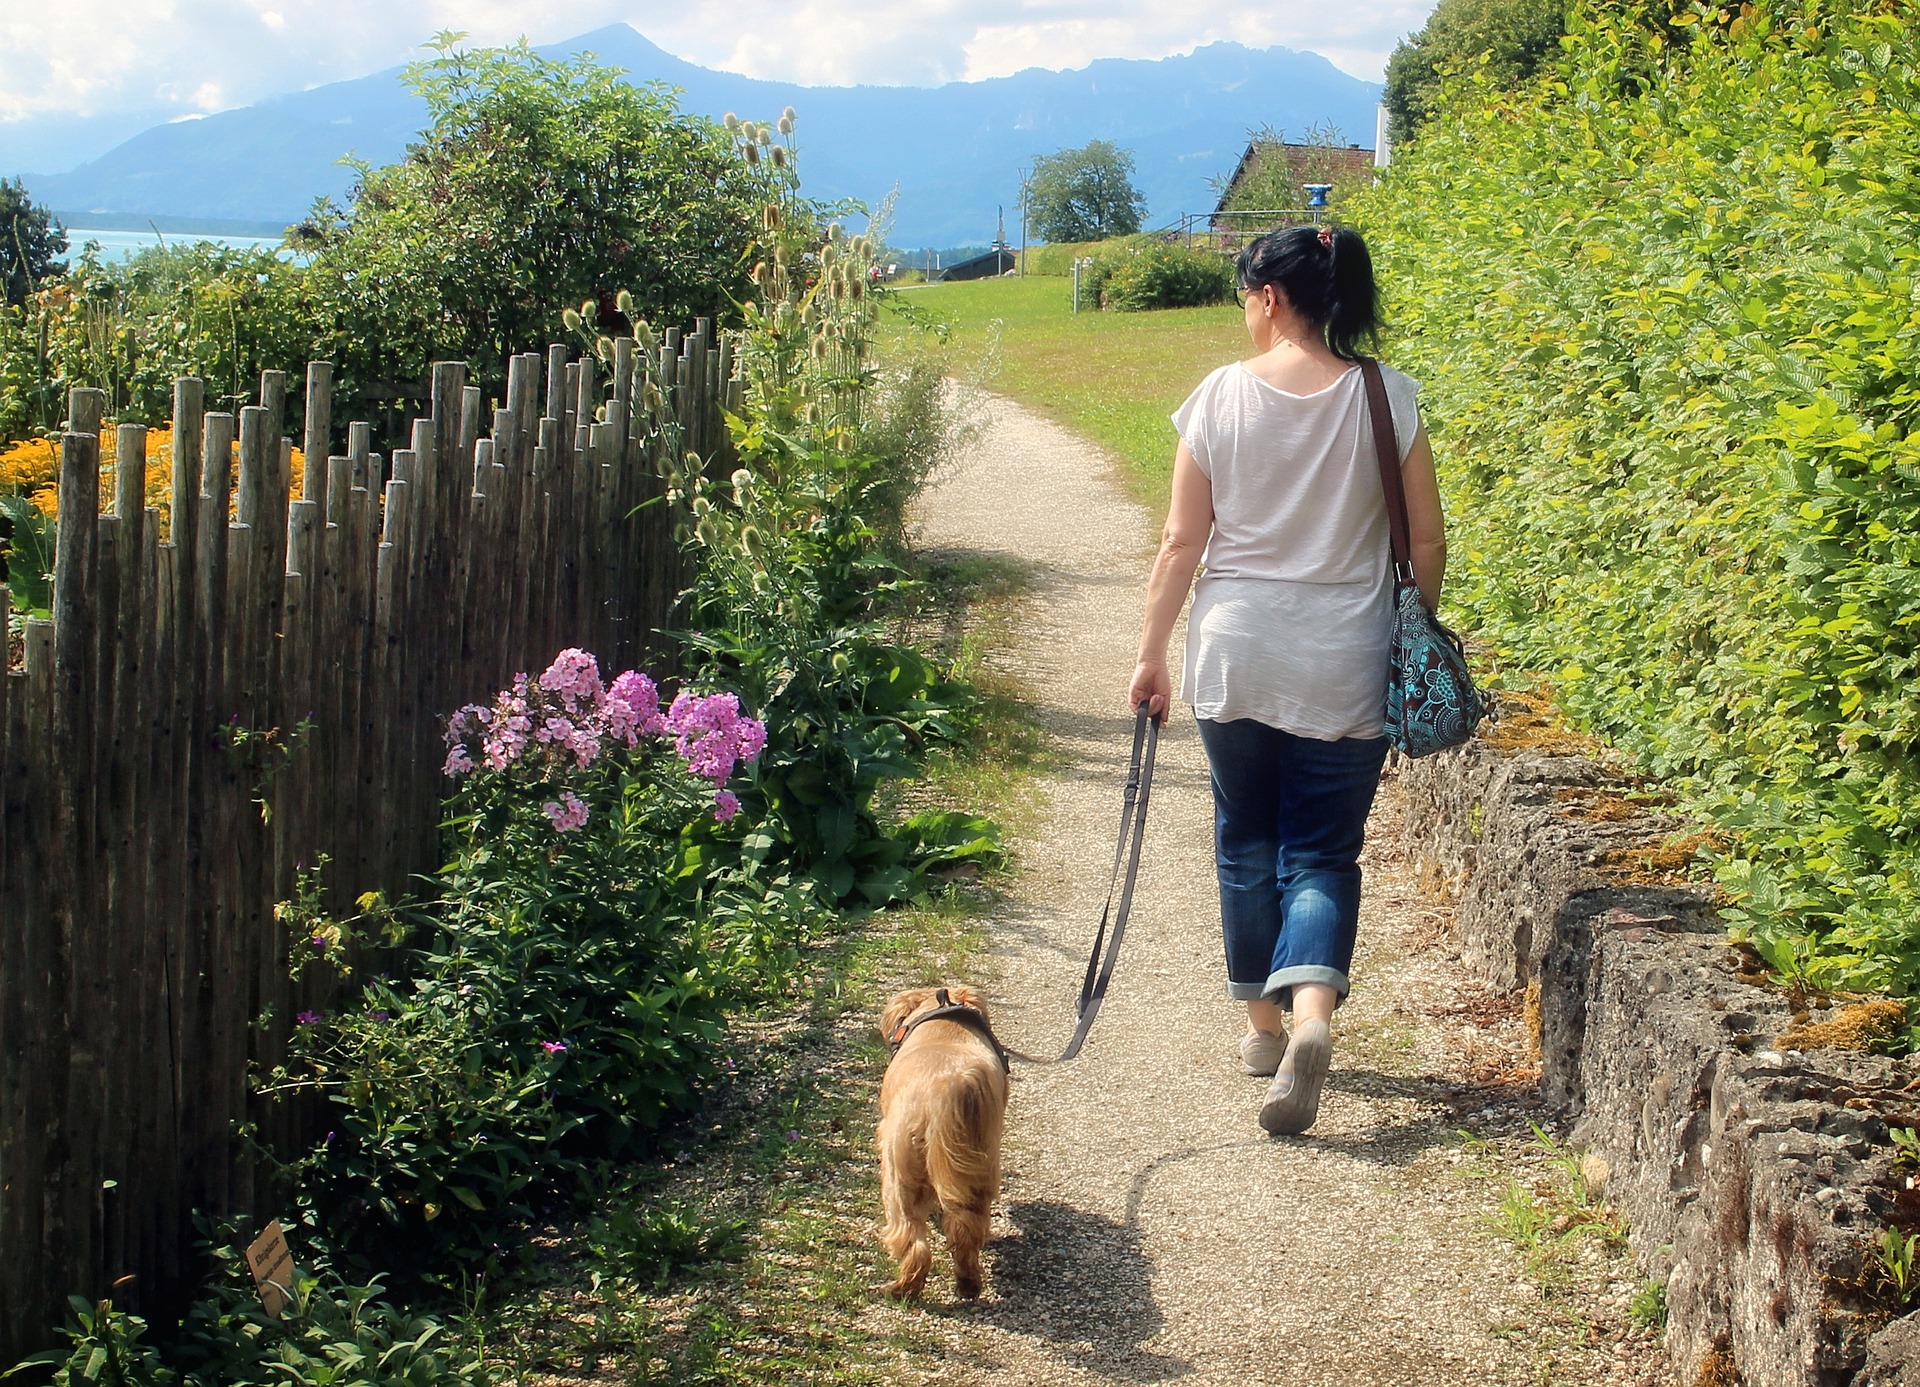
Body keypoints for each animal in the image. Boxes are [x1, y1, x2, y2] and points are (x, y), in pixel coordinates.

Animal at [879, 979, 1013, 1290]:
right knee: (965, 1228)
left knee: (911, 1234)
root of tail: (942, 1094)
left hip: (897, 1172)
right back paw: (965, 1282)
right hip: (978, 1170)